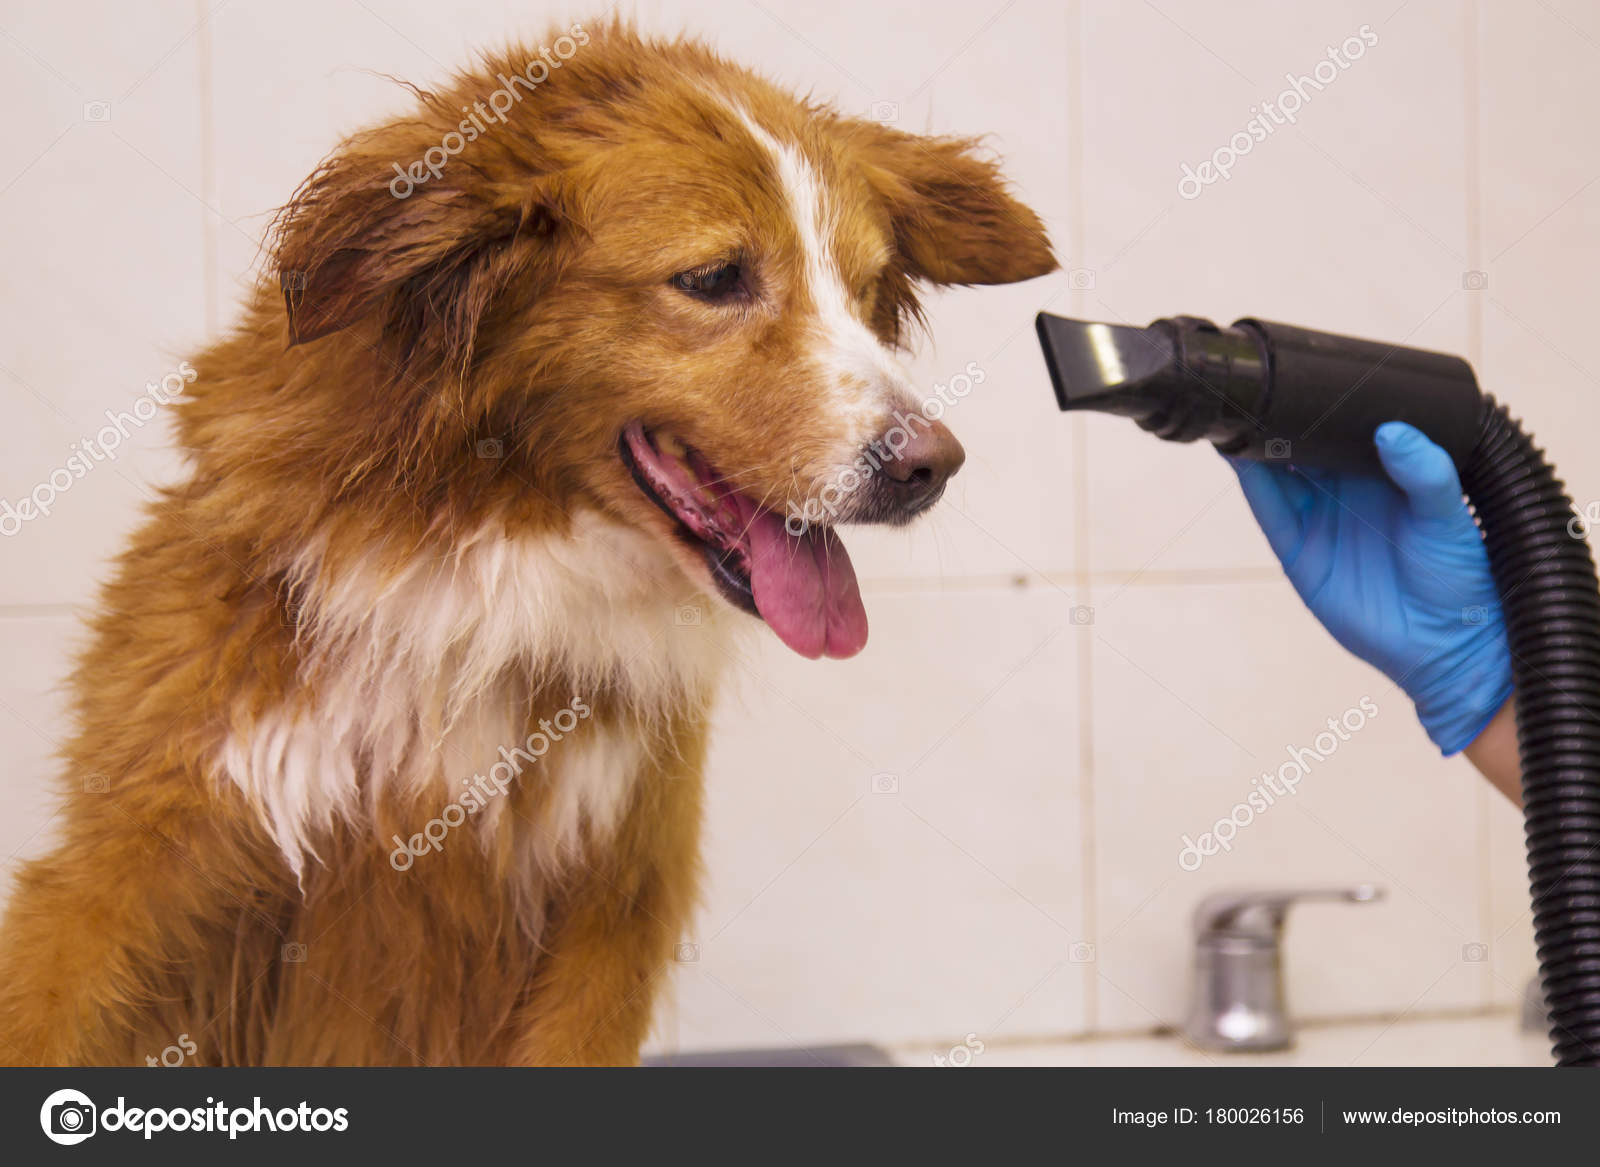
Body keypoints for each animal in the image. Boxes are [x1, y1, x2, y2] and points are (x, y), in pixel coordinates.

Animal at [0, 20, 1049, 1062]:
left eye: (868, 293)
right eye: (714, 279)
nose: (931, 465)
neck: (489, 562)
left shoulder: (612, 906)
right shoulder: (134, 863)